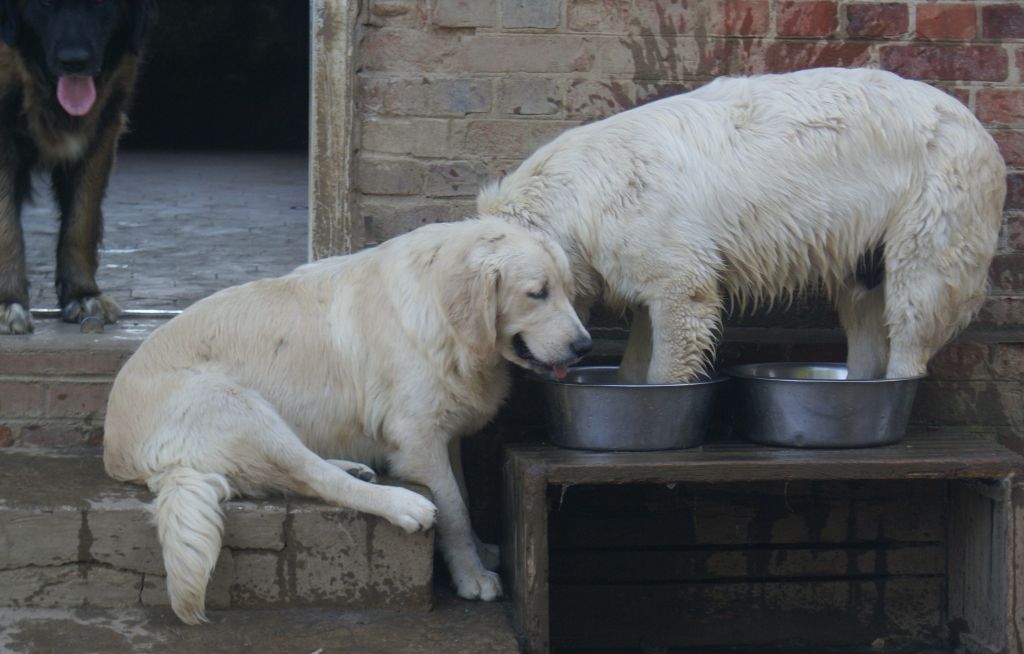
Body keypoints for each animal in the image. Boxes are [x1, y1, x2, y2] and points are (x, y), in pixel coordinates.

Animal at [0, 0, 153, 331]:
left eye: (103, 5)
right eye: (43, 4)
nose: (74, 62)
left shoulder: (102, 125)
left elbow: (81, 221)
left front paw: (83, 295)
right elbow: (6, 227)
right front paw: (7, 301)